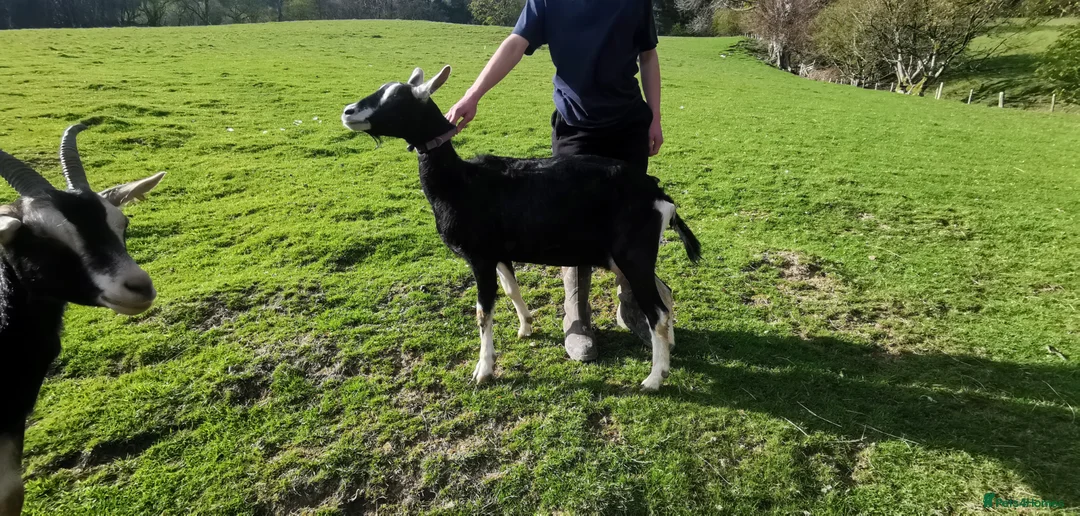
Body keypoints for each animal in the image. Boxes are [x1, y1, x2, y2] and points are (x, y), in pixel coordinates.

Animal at [341, 66, 701, 392]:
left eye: (397, 99)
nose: (348, 112)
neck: (461, 182)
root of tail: (658, 194)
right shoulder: (499, 253)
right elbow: (512, 289)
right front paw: (526, 327)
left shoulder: (480, 257)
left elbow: (483, 311)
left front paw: (483, 371)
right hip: (625, 257)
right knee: (665, 294)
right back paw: (669, 347)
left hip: (632, 254)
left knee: (657, 312)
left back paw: (654, 378)